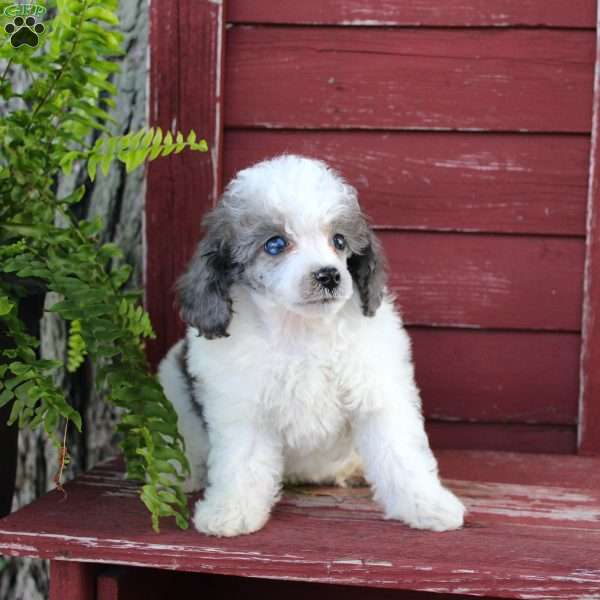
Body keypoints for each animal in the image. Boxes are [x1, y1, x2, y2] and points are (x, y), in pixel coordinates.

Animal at [158, 156, 464, 540]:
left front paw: (427, 505)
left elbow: (401, 455)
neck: (303, 330)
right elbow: (241, 462)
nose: (329, 275)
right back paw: (179, 474)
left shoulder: (379, 395)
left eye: (339, 241)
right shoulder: (243, 408)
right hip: (172, 382)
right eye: (275, 244)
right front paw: (231, 511)